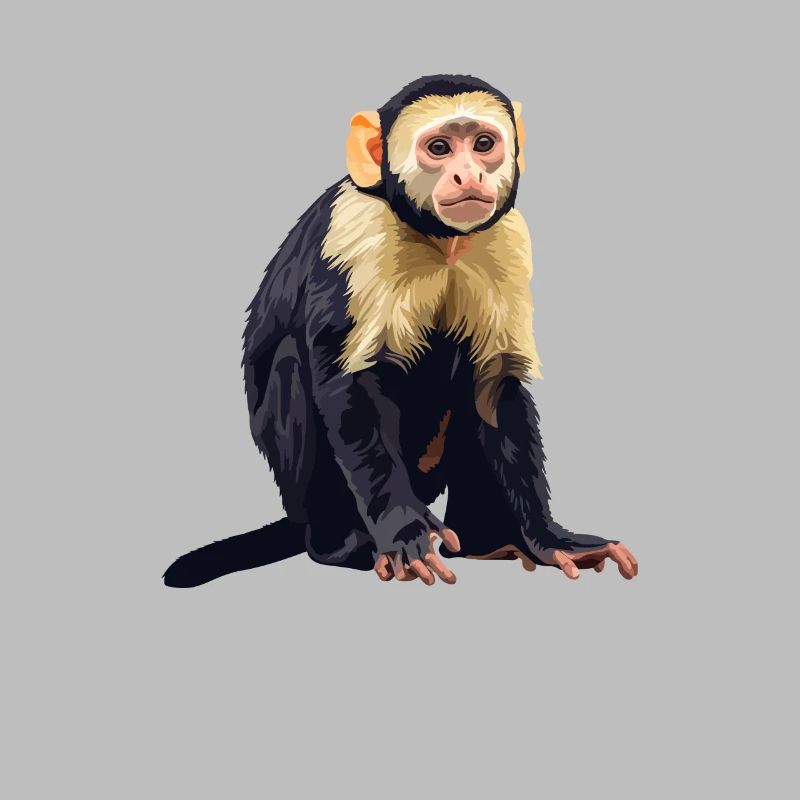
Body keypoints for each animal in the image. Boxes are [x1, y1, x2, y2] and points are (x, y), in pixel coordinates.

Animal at [163, 74, 638, 588]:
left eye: (483, 144)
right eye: (440, 148)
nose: (469, 176)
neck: (437, 238)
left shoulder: (506, 235)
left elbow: (495, 386)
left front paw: (548, 539)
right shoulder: (356, 229)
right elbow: (348, 384)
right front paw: (404, 531)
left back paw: (488, 541)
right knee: (293, 362)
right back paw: (340, 545)